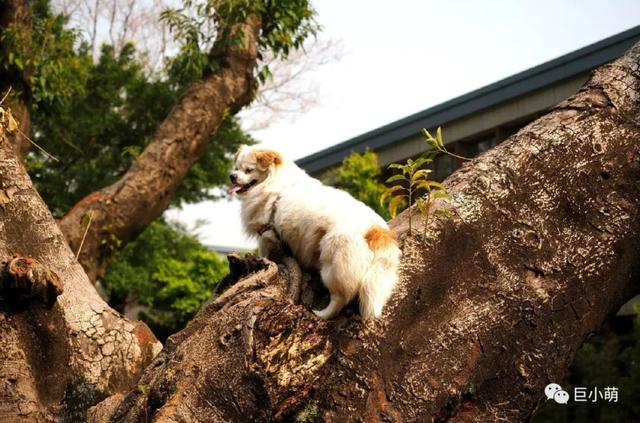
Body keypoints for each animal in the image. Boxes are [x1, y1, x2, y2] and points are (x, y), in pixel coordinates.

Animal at [230, 147, 400, 322]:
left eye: (248, 170)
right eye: (236, 168)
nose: (232, 176)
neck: (274, 183)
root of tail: (375, 230)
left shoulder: (266, 232)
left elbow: (264, 252)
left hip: (332, 267)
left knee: (339, 298)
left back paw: (322, 314)